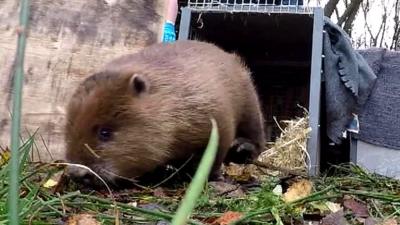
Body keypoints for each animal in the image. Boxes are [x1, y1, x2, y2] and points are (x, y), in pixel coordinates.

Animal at [65, 39, 266, 187]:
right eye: (69, 130)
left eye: (105, 132)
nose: (77, 173)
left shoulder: (216, 117)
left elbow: (216, 150)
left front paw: (212, 176)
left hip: (249, 101)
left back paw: (242, 148)